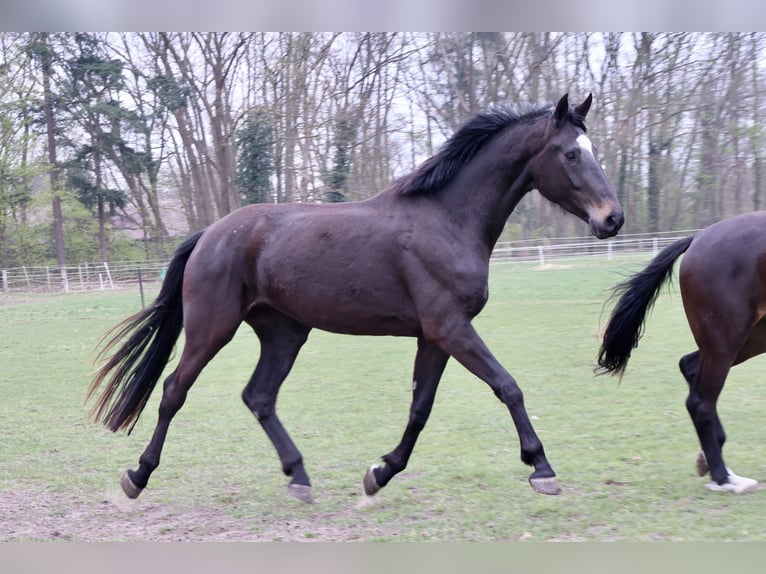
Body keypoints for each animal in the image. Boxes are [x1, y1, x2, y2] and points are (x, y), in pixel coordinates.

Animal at [88, 93, 624, 504]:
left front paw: (380, 473)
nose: (612, 218)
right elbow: (508, 387)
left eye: (592, 149)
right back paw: (137, 475)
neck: (447, 219)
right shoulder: (451, 328)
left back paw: (299, 478)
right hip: (210, 329)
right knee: (173, 390)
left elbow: (420, 409)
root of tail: (210, 234)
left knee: (259, 396)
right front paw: (541, 468)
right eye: (570, 154)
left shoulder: (434, 337)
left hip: (284, 333)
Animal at [598, 211, 766, 494]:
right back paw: (723, 477)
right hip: (727, 339)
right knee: (700, 402)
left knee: (689, 367)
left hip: (749, 337)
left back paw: (711, 460)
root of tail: (698, 238)